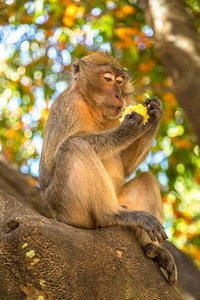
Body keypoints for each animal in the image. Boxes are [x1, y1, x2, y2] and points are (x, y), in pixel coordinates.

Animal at [39, 50, 177, 284]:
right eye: (108, 79)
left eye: (119, 81)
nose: (118, 96)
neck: (93, 107)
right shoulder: (68, 106)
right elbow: (56, 156)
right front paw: (126, 130)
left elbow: (126, 168)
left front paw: (154, 115)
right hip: (70, 211)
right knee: (75, 146)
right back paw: (112, 215)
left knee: (147, 179)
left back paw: (152, 249)